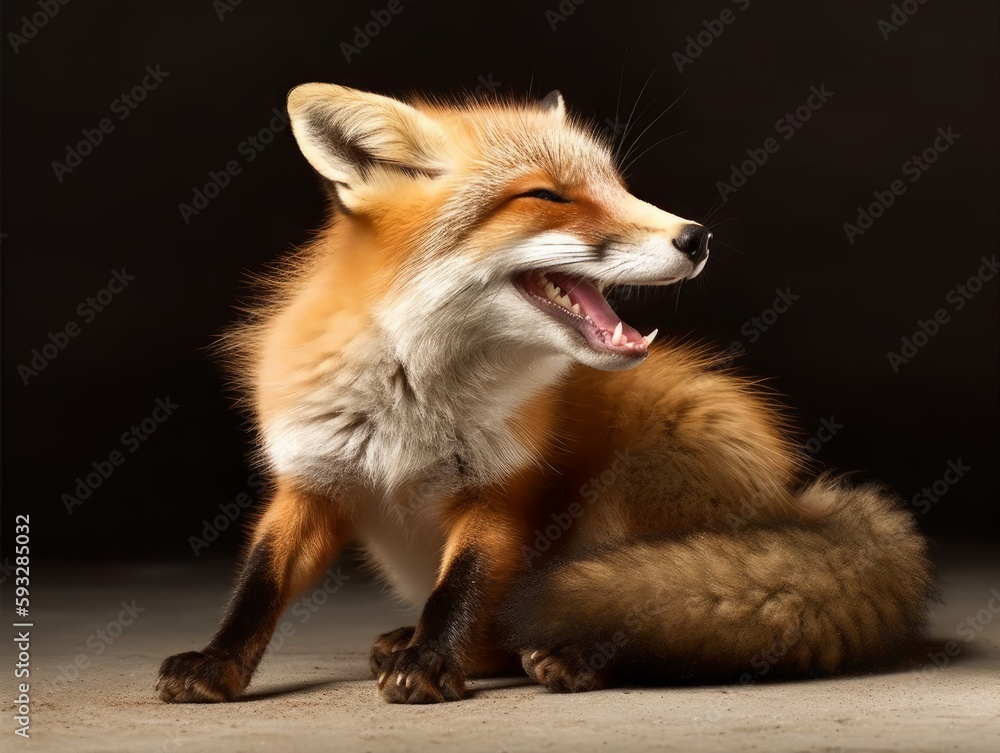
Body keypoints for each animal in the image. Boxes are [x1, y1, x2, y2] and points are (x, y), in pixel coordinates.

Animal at [156, 83, 933, 704]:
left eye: (619, 186)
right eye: (547, 195)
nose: (697, 236)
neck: (414, 392)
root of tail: (795, 501)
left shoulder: (500, 489)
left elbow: (461, 588)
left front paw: (429, 663)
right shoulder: (313, 479)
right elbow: (259, 586)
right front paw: (217, 663)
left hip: (635, 485)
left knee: (663, 617)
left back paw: (572, 657)